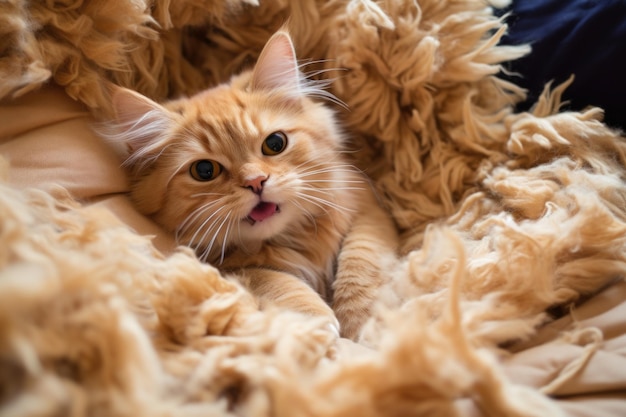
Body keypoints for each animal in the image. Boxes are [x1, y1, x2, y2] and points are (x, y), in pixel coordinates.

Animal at [102, 31, 394, 338]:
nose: (256, 181)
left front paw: (365, 325)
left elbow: (361, 264)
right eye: (204, 170)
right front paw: (314, 319)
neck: (293, 239)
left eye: (275, 144)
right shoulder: (227, 268)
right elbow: (273, 279)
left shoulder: (366, 208)